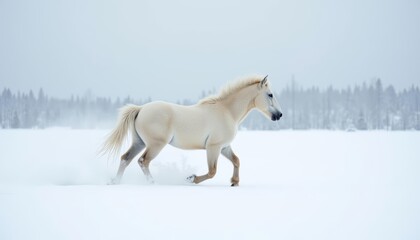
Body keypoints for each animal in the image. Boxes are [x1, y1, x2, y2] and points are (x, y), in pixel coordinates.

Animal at [101, 75, 282, 186]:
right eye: (270, 94)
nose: (279, 115)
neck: (227, 112)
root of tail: (141, 109)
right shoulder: (213, 147)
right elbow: (212, 171)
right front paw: (190, 179)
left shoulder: (224, 147)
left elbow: (236, 160)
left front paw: (234, 182)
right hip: (155, 145)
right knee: (143, 161)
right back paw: (153, 183)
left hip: (139, 142)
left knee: (126, 158)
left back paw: (114, 182)